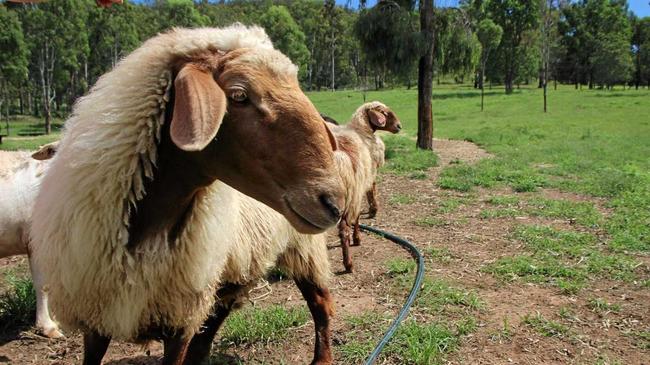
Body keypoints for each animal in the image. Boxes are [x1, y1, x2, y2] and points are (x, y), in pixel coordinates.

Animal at [29, 24, 344, 362]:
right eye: (239, 95)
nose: (333, 202)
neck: (146, 230)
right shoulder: (97, 316)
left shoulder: (178, 320)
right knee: (213, 325)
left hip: (304, 249)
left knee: (321, 306)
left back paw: (322, 358)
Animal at [324, 101, 400, 272]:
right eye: (384, 113)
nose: (399, 126)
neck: (361, 132)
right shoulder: (359, 187)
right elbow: (360, 211)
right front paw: (358, 237)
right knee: (343, 229)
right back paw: (348, 264)